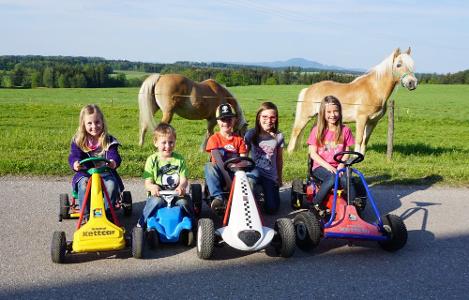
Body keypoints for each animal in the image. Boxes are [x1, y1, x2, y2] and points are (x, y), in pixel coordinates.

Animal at [288, 47, 416, 155]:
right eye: (398, 64)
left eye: (412, 64)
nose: (412, 83)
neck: (373, 89)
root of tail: (308, 89)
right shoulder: (361, 119)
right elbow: (359, 139)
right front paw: (355, 156)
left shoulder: (372, 122)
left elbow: (365, 140)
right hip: (306, 116)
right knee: (296, 131)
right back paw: (290, 152)